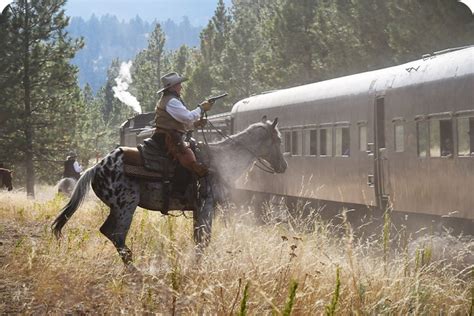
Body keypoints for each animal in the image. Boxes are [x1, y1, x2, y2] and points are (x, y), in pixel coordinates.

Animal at [53, 117, 286, 266]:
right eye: (278, 140)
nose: (283, 166)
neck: (220, 160)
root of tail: (96, 167)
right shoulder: (207, 205)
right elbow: (204, 239)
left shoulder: (199, 209)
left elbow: (199, 239)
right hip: (125, 207)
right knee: (116, 234)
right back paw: (135, 270)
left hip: (117, 209)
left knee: (108, 232)